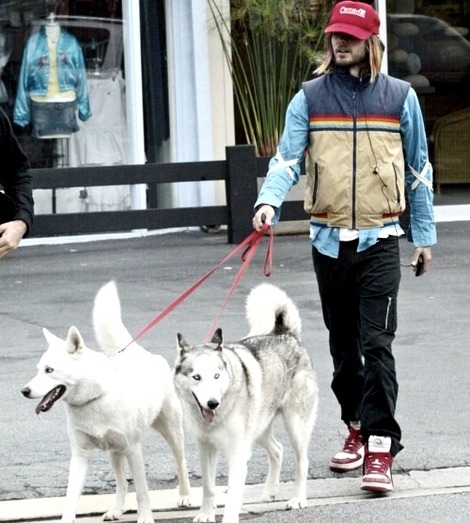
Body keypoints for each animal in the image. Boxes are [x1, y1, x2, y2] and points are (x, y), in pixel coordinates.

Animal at [22, 282, 191, 523]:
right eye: (38, 370)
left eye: (49, 370)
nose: (24, 391)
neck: (94, 398)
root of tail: (143, 354)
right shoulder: (80, 455)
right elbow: (71, 497)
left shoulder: (133, 449)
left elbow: (142, 492)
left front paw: (145, 517)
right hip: (113, 452)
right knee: (121, 484)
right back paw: (116, 509)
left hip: (171, 432)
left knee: (181, 463)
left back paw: (185, 495)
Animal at [173, 284, 320, 520]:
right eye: (196, 377)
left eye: (216, 376)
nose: (212, 403)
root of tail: (287, 335)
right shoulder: (206, 450)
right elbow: (208, 488)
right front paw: (206, 514)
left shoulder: (238, 454)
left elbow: (233, 493)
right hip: (259, 429)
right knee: (277, 450)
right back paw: (269, 491)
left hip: (295, 425)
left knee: (302, 462)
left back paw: (297, 498)